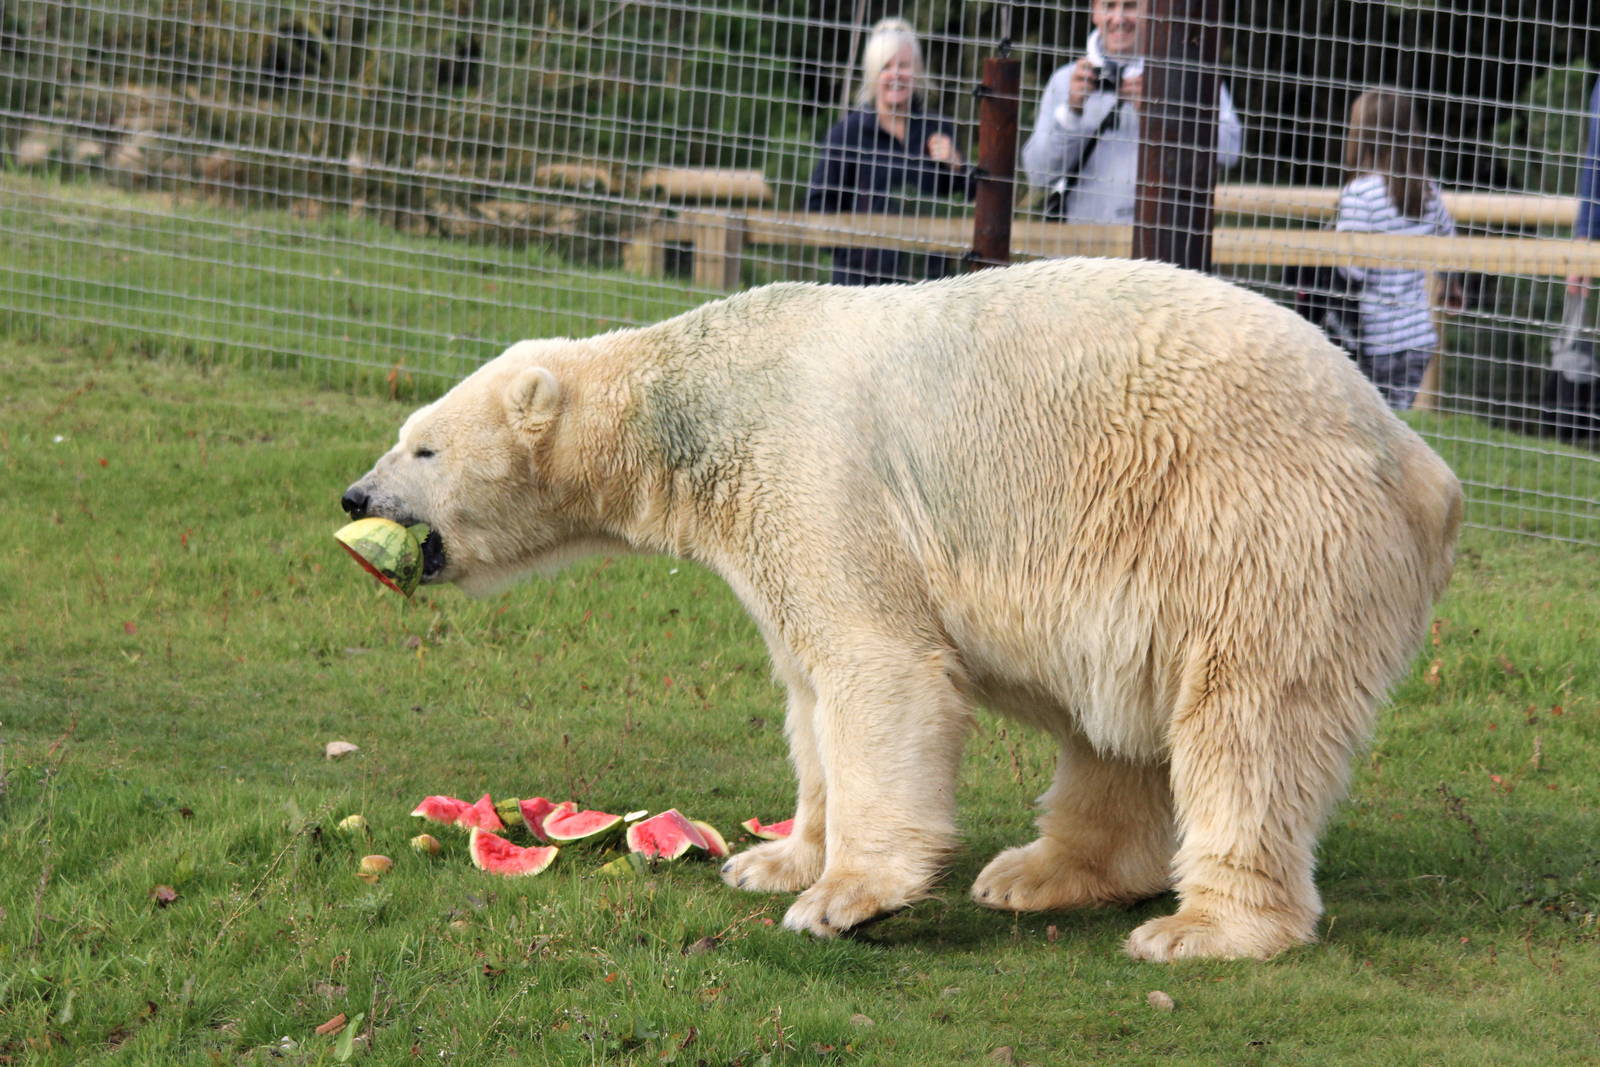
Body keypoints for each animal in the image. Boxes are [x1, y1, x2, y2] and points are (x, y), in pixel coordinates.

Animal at [341, 257, 1462, 961]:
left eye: (423, 445)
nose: (354, 496)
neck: (701, 403)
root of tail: (1421, 466)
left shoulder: (814, 473)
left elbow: (877, 668)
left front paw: (842, 900)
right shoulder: (760, 523)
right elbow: (806, 688)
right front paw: (772, 858)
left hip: (1253, 532)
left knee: (1246, 722)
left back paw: (1200, 928)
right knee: (1119, 728)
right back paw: (1040, 873)